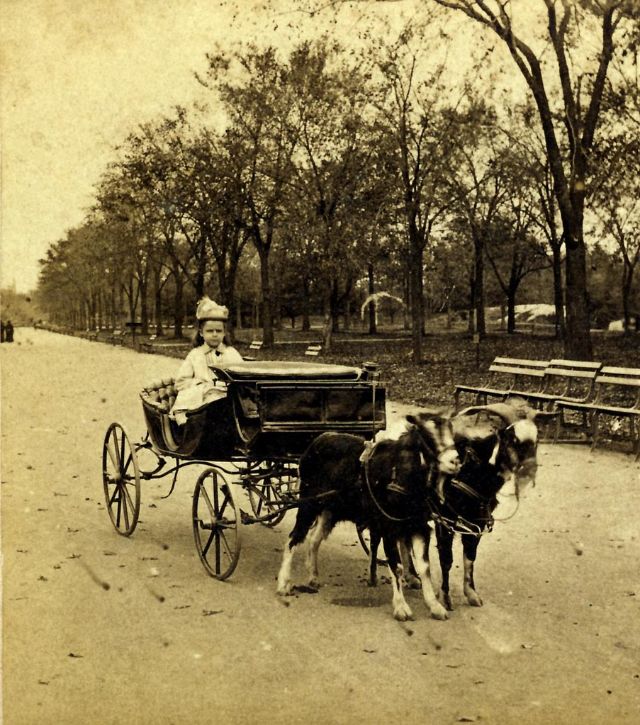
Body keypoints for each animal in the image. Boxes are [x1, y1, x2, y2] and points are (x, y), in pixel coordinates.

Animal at [276, 410, 460, 620]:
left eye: (451, 431)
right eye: (428, 436)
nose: (455, 461)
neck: (398, 474)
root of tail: (317, 441)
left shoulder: (418, 527)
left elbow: (425, 567)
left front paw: (435, 605)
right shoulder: (388, 528)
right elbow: (396, 566)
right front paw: (401, 607)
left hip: (330, 510)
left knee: (314, 539)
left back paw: (313, 577)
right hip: (308, 503)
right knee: (294, 537)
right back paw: (283, 583)